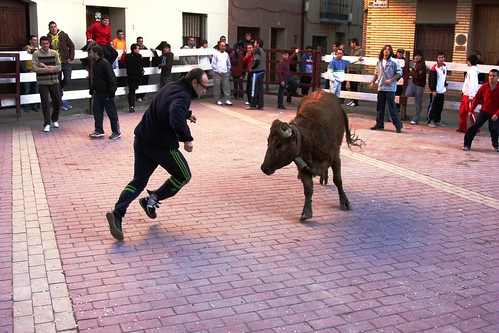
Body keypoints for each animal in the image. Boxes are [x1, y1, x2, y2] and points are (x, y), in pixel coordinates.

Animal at [262, 91, 364, 220]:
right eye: (268, 141)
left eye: (279, 144)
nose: (264, 168)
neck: (310, 136)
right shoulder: (303, 166)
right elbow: (308, 189)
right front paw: (306, 212)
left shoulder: (336, 158)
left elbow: (338, 180)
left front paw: (345, 203)